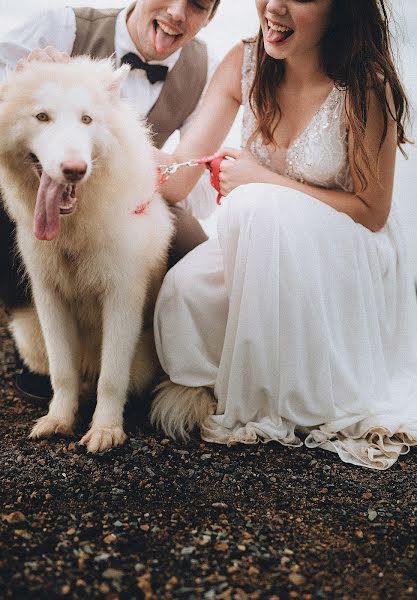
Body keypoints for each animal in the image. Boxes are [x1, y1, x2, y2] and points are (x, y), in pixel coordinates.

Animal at [0, 56, 173, 452]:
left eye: (87, 119)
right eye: (42, 116)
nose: (74, 170)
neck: (73, 233)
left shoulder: (122, 298)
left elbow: (111, 376)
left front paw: (106, 429)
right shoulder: (49, 297)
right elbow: (62, 372)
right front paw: (59, 420)